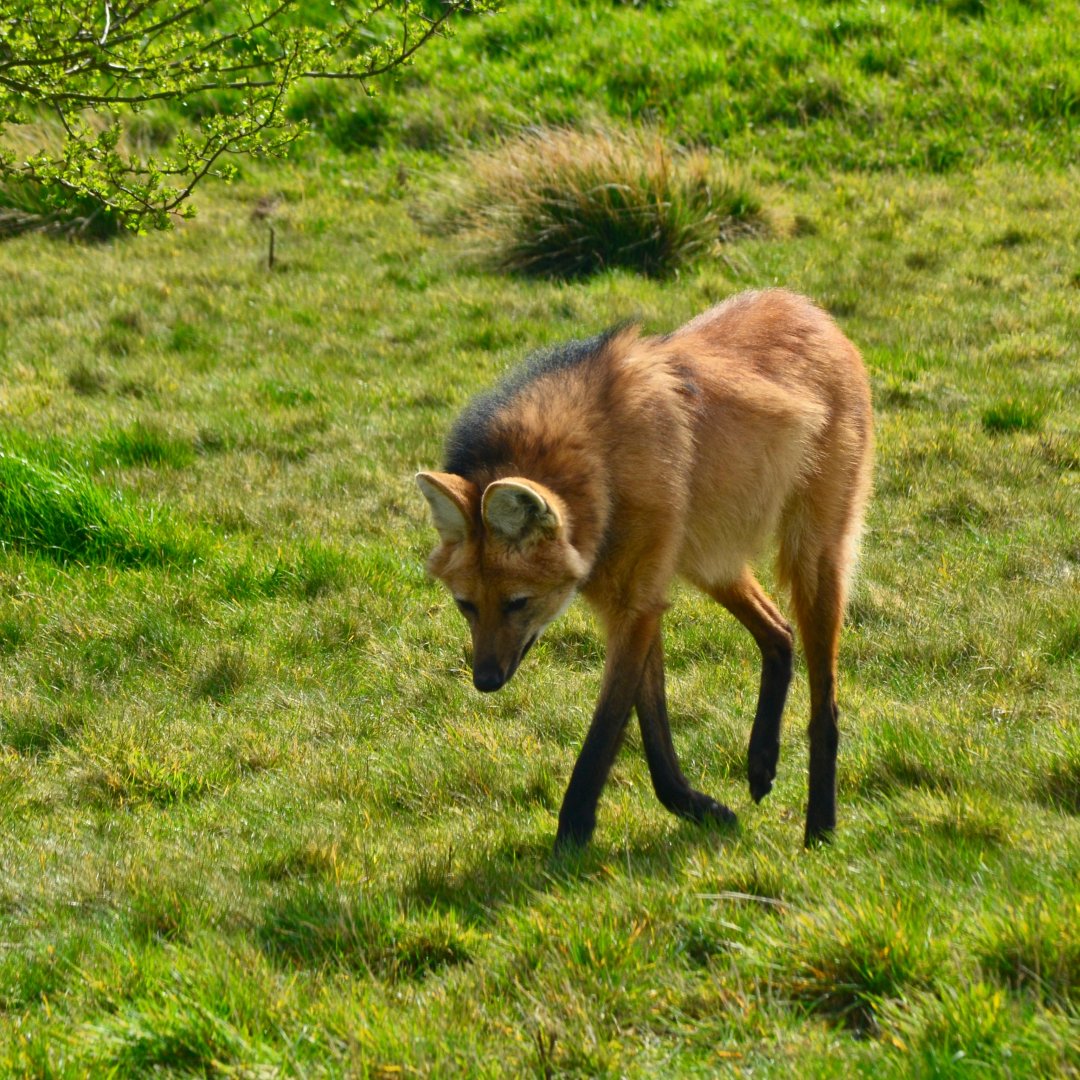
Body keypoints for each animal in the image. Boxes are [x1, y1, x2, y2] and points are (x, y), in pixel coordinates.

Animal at [416, 289, 873, 850]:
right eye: (466, 606)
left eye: (517, 603)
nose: (485, 681)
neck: (604, 466)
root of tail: (810, 308)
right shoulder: (639, 599)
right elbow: (654, 734)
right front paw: (702, 808)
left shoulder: (634, 605)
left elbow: (604, 734)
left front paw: (569, 843)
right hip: (707, 557)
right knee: (778, 632)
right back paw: (761, 762)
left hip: (808, 555)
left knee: (824, 703)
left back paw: (820, 828)